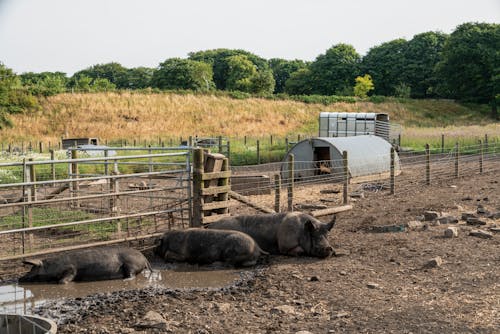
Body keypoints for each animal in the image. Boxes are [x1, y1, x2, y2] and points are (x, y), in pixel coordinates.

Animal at [19, 247, 150, 284]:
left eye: (32, 269)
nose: (19, 279)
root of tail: (144, 257)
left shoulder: (71, 269)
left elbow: (64, 280)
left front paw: (62, 282)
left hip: (131, 264)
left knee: (132, 274)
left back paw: (125, 280)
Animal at [207, 213, 336, 258]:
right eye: (314, 237)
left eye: (328, 237)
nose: (328, 249)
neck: (303, 231)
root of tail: (211, 225)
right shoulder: (285, 246)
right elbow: (299, 251)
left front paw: (335, 251)